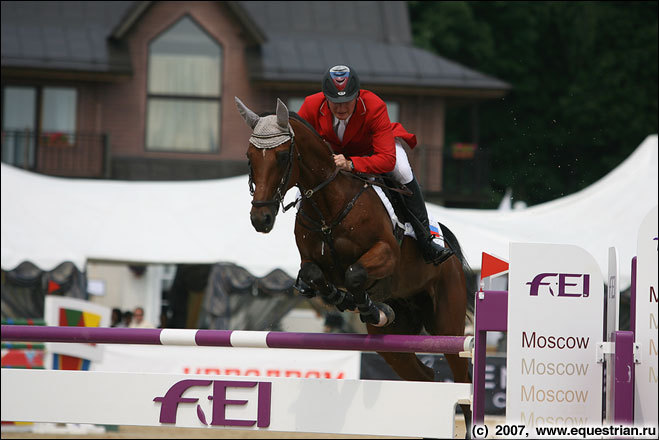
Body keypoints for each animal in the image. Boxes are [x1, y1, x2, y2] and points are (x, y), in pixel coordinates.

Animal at [237, 97, 474, 434]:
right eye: (249, 157)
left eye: (283, 156)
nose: (261, 219)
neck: (328, 203)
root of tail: (451, 256)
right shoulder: (311, 262)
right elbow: (315, 274)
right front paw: (346, 300)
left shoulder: (386, 254)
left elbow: (355, 273)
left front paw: (368, 306)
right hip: (392, 344)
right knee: (425, 376)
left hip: (448, 326)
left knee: (462, 376)